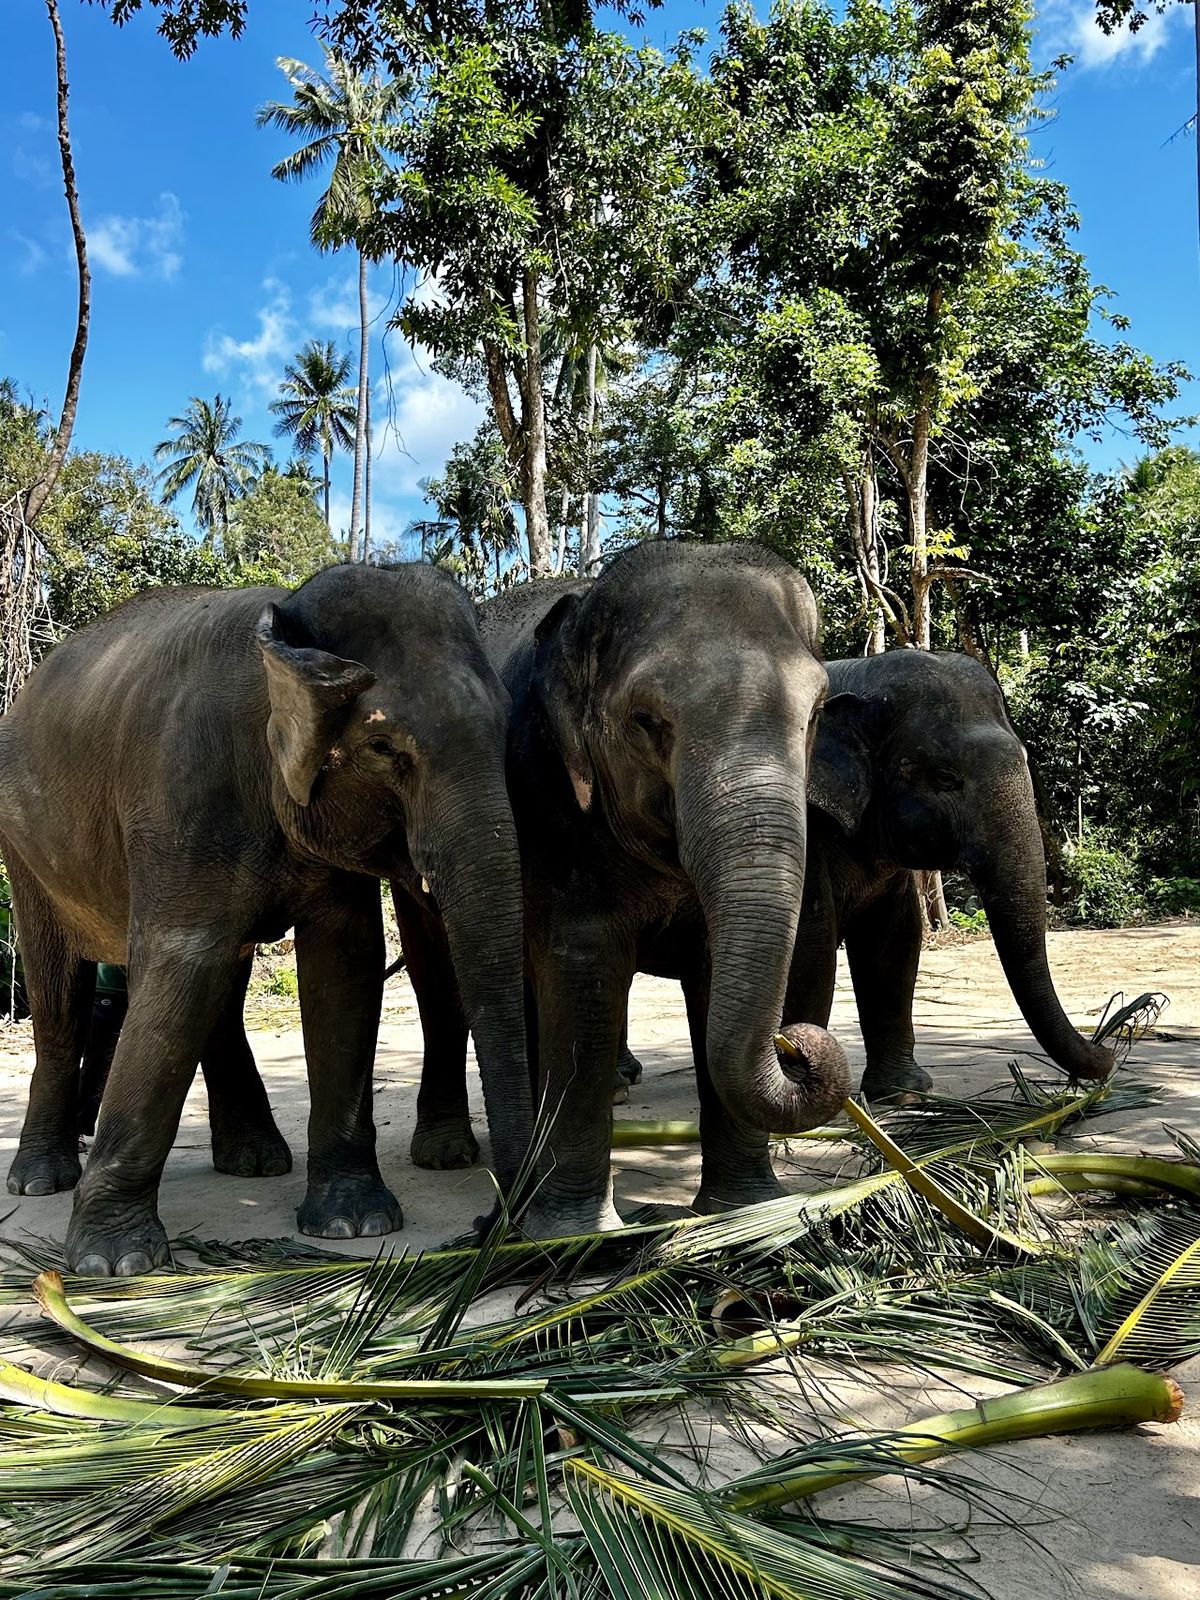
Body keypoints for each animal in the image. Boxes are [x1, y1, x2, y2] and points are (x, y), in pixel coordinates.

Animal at [0, 563, 532, 1274]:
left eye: (505, 725)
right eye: (382, 744)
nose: (488, 1225)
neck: (280, 630)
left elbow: (344, 967)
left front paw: (353, 1223)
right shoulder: (179, 798)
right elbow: (180, 962)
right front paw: (113, 1264)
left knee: (219, 987)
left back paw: (254, 1161)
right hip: (25, 848)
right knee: (60, 990)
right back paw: (40, 1180)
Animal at [431, 540, 852, 1236]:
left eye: (818, 713)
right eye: (647, 721)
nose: (798, 1044)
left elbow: (712, 975)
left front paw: (748, 1215)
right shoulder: (548, 795)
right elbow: (583, 973)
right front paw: (577, 1235)